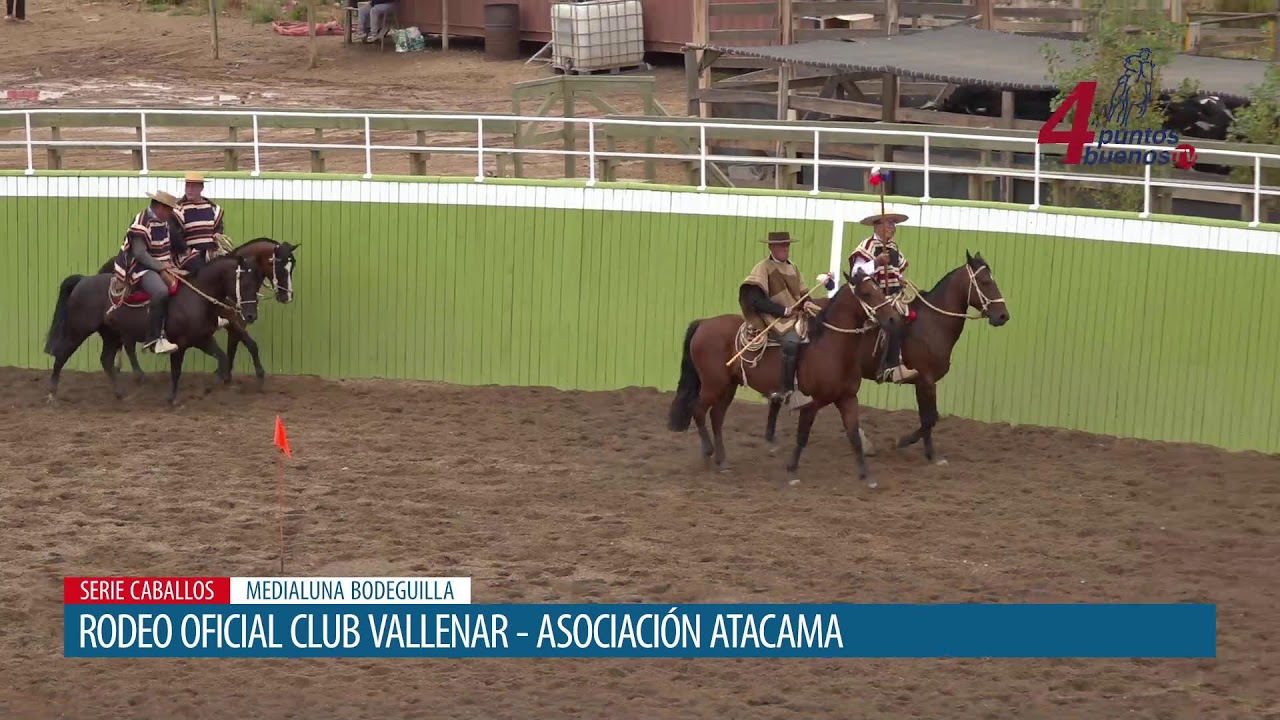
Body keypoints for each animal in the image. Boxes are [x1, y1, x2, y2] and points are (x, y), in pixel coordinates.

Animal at [45, 255, 264, 406]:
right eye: (245, 283)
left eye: (257, 283)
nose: (251, 316)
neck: (196, 297)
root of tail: (83, 280)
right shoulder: (180, 343)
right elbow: (176, 370)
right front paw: (172, 399)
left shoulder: (203, 339)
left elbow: (222, 358)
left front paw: (208, 389)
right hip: (78, 330)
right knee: (62, 355)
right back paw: (52, 394)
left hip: (111, 335)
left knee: (106, 360)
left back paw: (120, 395)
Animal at [98, 237, 299, 388]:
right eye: (279, 264)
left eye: (292, 266)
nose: (286, 296)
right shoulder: (232, 321)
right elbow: (247, 344)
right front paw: (251, 374)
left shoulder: (234, 322)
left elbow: (238, 346)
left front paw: (227, 375)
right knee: (128, 344)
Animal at [667, 269, 906, 488]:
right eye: (866, 293)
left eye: (880, 289)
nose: (893, 318)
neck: (831, 346)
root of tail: (703, 323)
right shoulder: (811, 404)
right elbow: (802, 436)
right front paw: (792, 471)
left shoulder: (847, 399)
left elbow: (854, 436)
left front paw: (867, 476)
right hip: (713, 384)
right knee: (698, 409)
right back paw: (708, 452)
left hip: (728, 386)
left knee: (716, 416)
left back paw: (722, 461)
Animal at [764, 251, 1009, 466]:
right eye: (985, 282)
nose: (1003, 316)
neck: (933, 322)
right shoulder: (926, 380)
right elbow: (930, 418)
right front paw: (905, 443)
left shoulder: (922, 383)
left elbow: (927, 417)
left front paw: (930, 454)